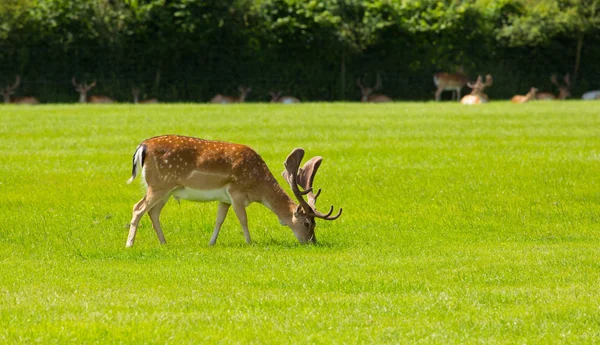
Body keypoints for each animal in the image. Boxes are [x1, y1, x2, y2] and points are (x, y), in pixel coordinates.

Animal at [125, 134, 342, 247]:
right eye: (307, 223)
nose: (312, 242)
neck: (258, 186)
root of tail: (142, 147)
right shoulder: (236, 192)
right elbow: (243, 219)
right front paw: (250, 242)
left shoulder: (224, 198)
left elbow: (219, 219)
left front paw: (211, 243)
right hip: (159, 184)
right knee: (138, 208)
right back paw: (130, 244)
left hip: (167, 189)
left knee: (153, 212)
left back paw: (164, 243)